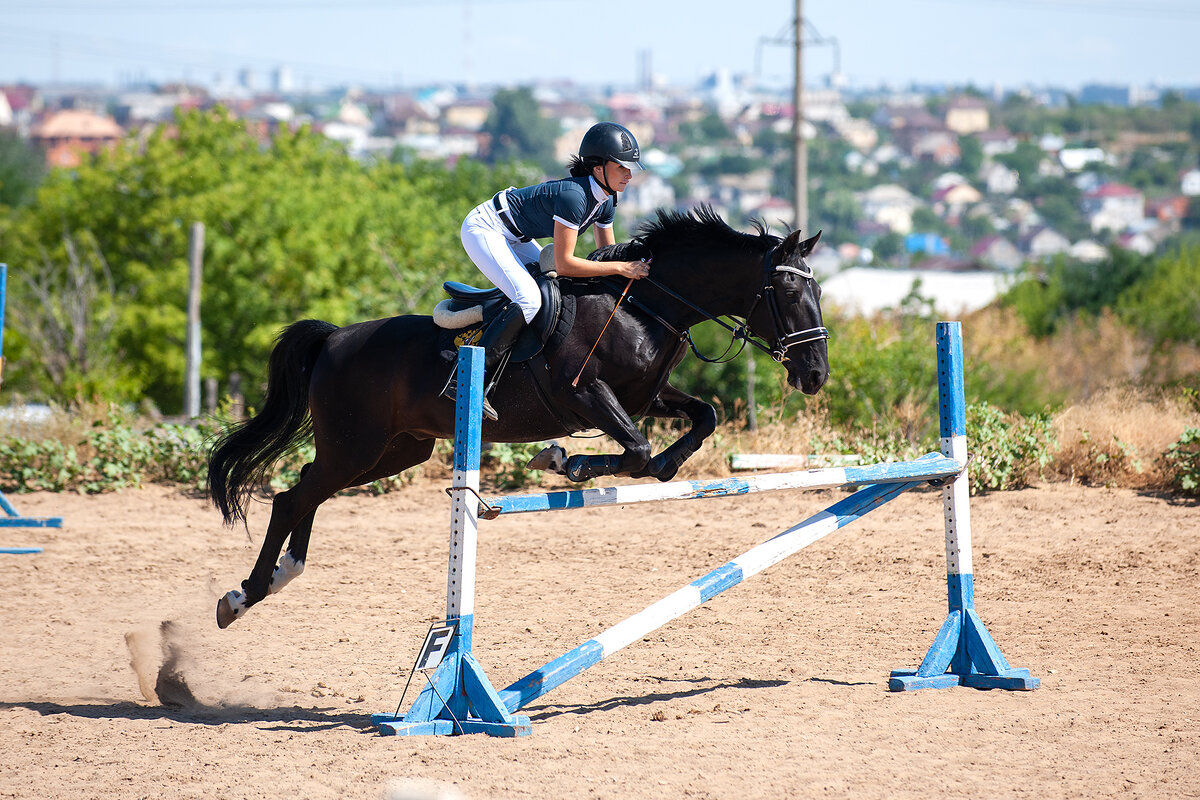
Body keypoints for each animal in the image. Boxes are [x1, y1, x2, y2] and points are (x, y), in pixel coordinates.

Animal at [208, 203, 825, 628]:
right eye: (790, 297)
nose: (816, 374)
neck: (647, 305)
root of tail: (335, 338)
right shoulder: (585, 393)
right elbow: (637, 450)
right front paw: (565, 461)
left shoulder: (647, 397)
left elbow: (698, 422)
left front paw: (621, 464)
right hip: (355, 445)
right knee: (293, 497)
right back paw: (243, 595)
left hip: (396, 450)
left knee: (307, 492)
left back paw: (277, 577)